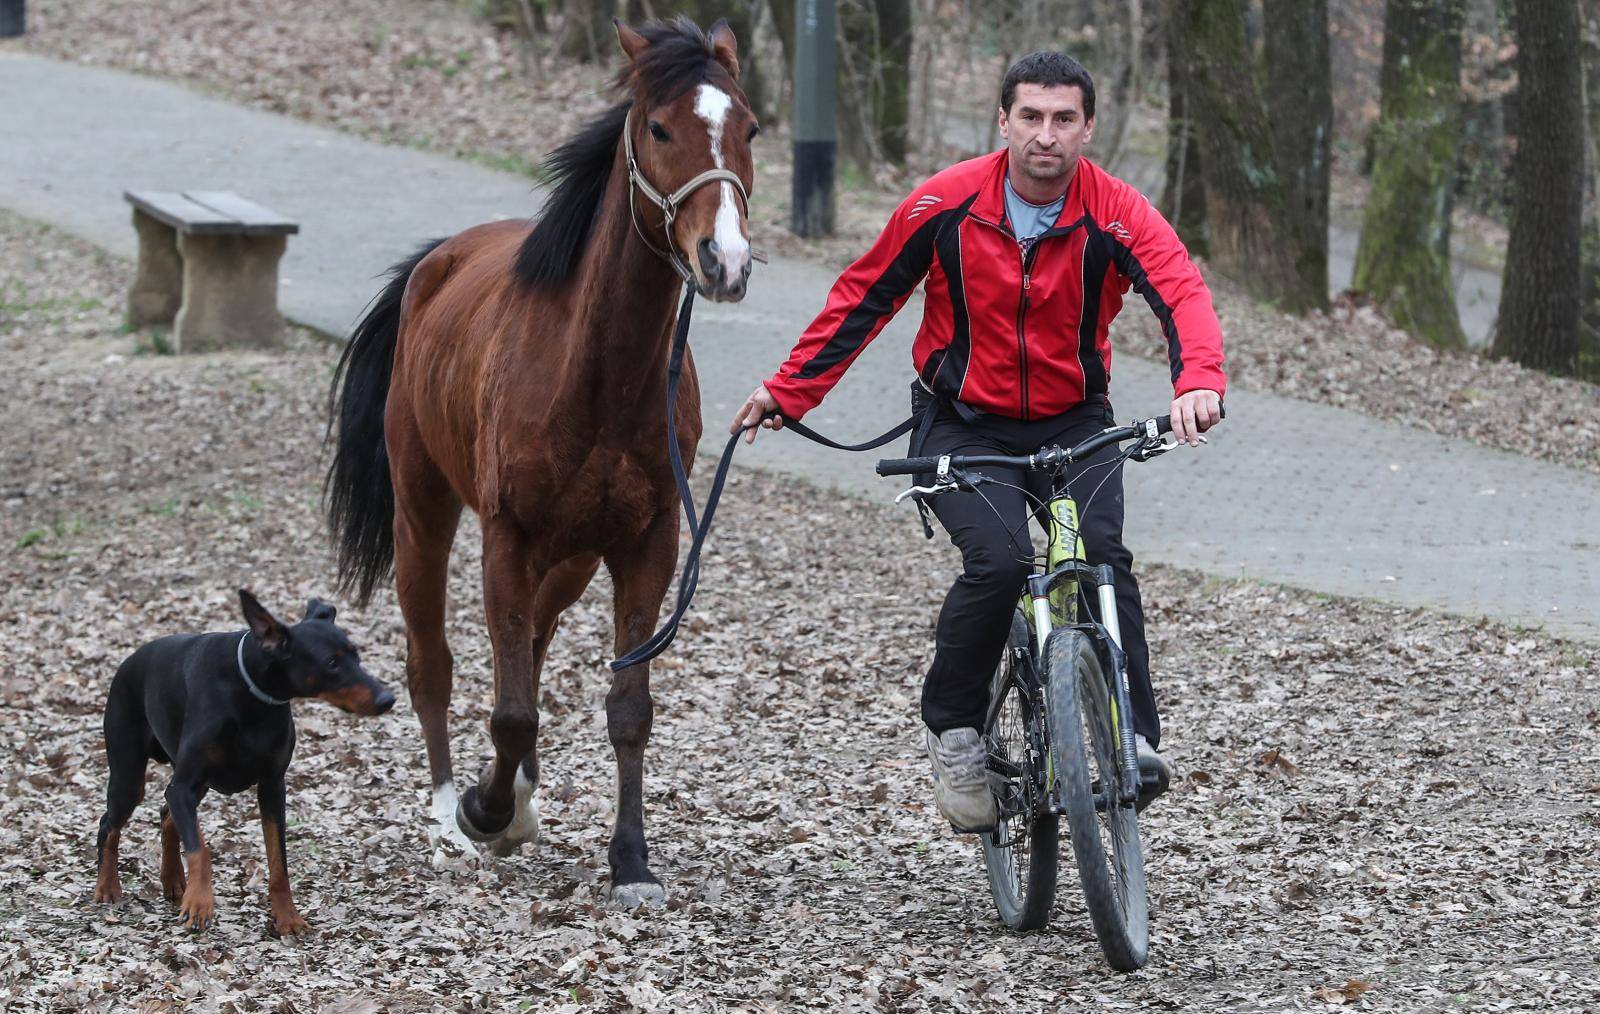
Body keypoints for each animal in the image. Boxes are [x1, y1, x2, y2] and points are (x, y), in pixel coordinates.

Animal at [93, 591, 393, 934]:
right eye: (331, 662)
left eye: (357, 656)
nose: (388, 699)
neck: (253, 696)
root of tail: (128, 661)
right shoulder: (185, 785)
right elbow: (201, 849)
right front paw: (200, 902)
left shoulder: (272, 786)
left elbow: (278, 860)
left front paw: (287, 916)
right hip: (130, 776)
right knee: (110, 823)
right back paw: (108, 886)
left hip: (199, 784)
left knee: (166, 814)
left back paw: (173, 880)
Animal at [328, 17, 758, 902]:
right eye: (658, 128)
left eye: (752, 128)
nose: (724, 261)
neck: (595, 372)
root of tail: (437, 263)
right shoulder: (507, 538)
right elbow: (510, 706)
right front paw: (483, 812)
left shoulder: (648, 545)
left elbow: (626, 706)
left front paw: (629, 859)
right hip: (423, 516)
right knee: (434, 664)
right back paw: (450, 813)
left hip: (571, 561)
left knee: (530, 646)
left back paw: (518, 800)